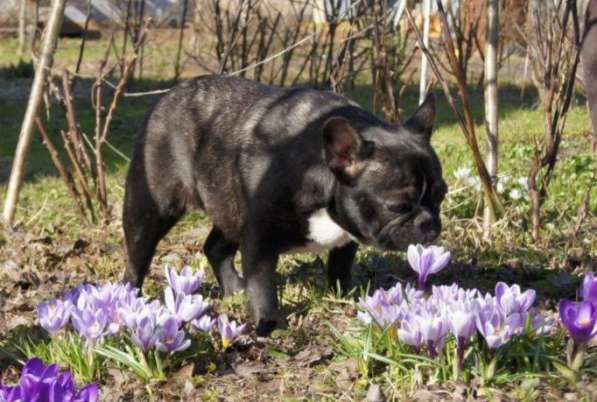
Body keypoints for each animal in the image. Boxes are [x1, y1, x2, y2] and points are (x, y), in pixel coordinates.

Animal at [122, 74, 448, 334]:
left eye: (441, 195)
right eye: (397, 206)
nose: (429, 222)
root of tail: (168, 97)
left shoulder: (347, 231)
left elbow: (339, 266)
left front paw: (347, 295)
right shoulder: (259, 237)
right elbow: (262, 281)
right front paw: (271, 322)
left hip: (229, 207)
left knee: (215, 247)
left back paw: (235, 289)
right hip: (150, 207)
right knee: (138, 257)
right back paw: (130, 298)